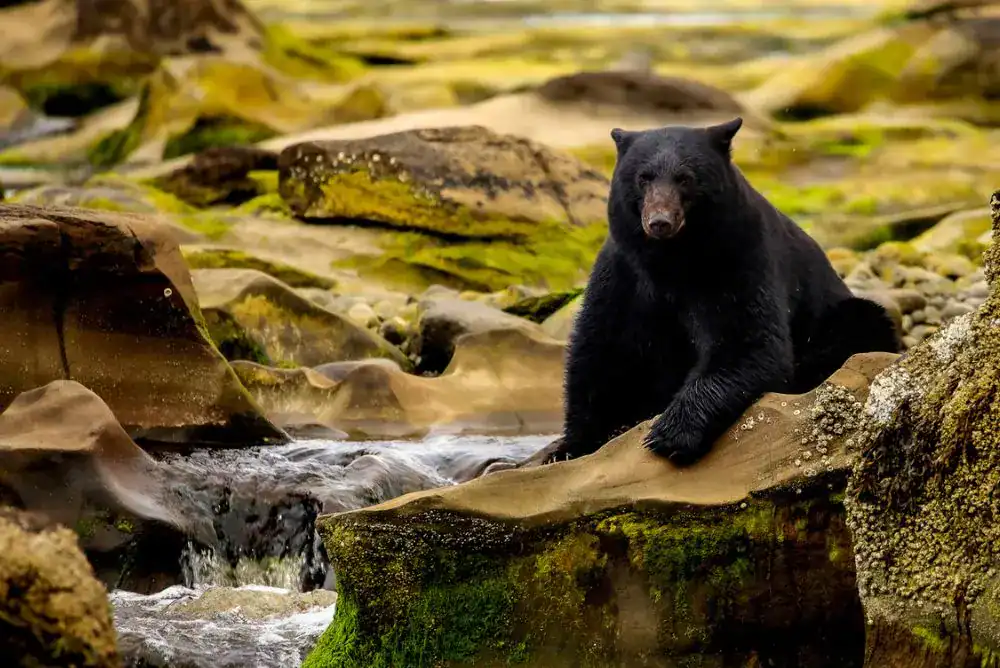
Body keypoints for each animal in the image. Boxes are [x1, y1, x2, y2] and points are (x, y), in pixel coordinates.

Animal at [558, 117, 901, 465]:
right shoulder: (623, 273)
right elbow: (600, 349)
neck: (670, 260)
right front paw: (569, 447)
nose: (659, 222)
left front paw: (670, 433)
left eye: (685, 178)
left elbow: (748, 342)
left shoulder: (737, 257)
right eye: (643, 178)